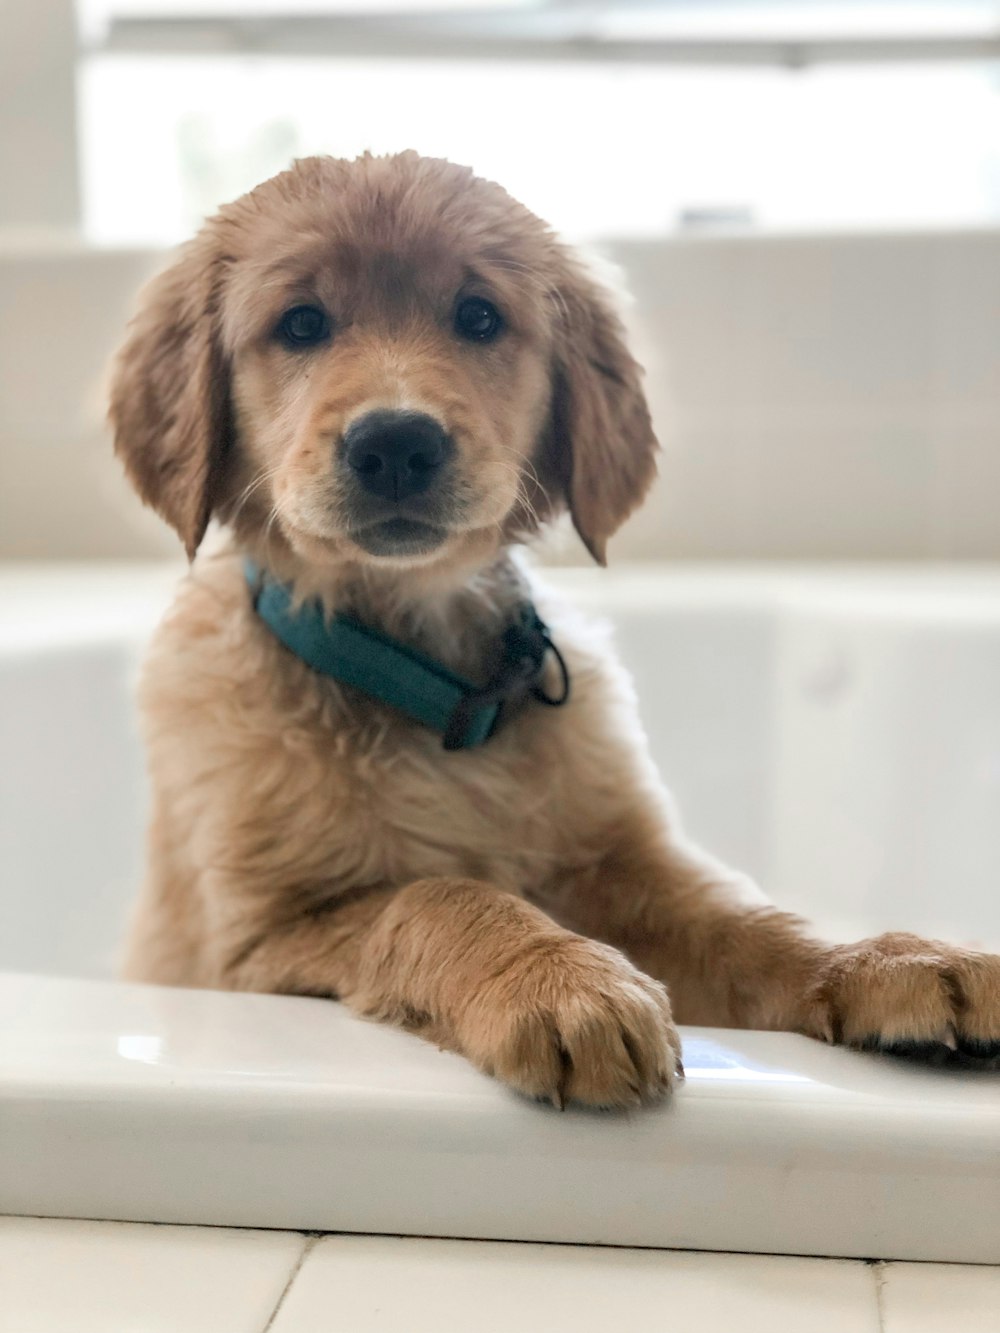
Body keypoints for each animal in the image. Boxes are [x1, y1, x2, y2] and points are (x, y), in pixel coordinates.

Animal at [109, 153, 1000, 1103]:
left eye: (478, 316)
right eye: (301, 323)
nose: (396, 443)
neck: (432, 682)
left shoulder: (624, 863)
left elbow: (744, 918)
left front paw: (894, 957)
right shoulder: (255, 941)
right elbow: (432, 896)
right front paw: (557, 977)